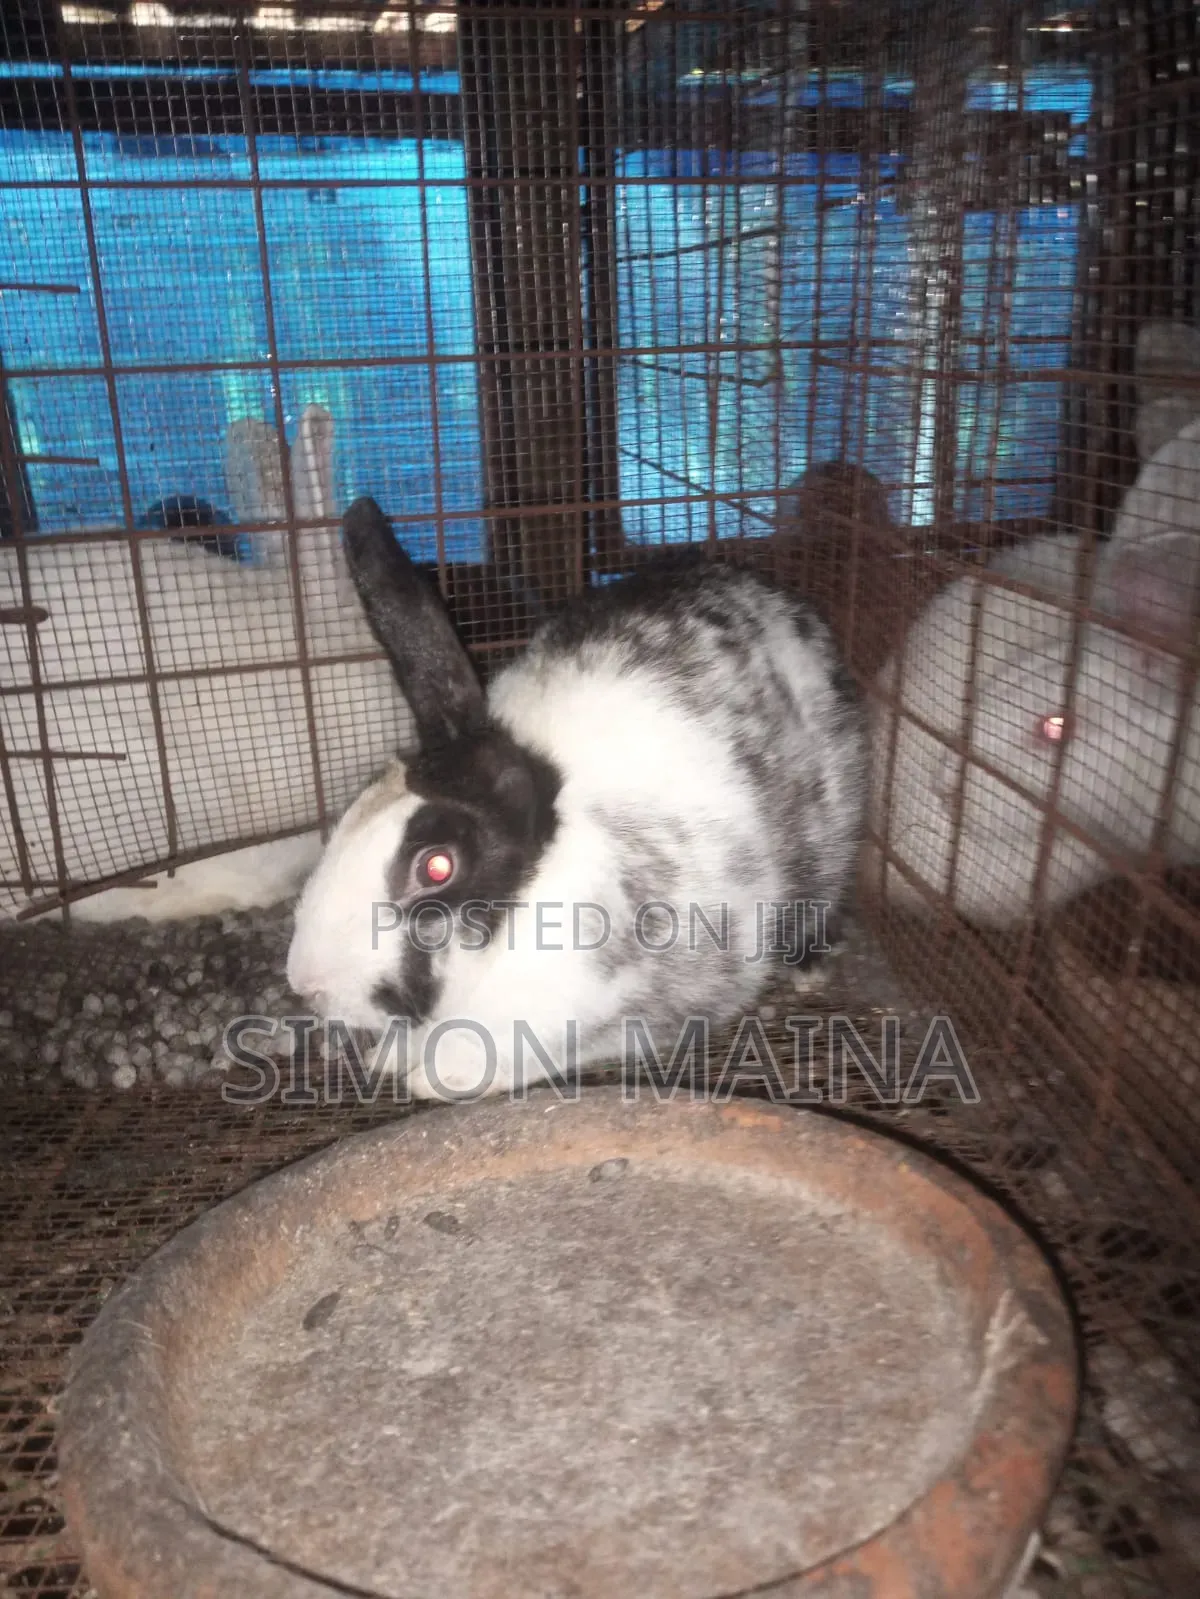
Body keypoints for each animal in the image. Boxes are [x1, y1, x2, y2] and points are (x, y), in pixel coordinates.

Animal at [285, 496, 867, 1101]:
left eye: (437, 866)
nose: (306, 983)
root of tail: (766, 592)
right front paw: (391, 1059)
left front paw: (439, 1076)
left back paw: (809, 966)